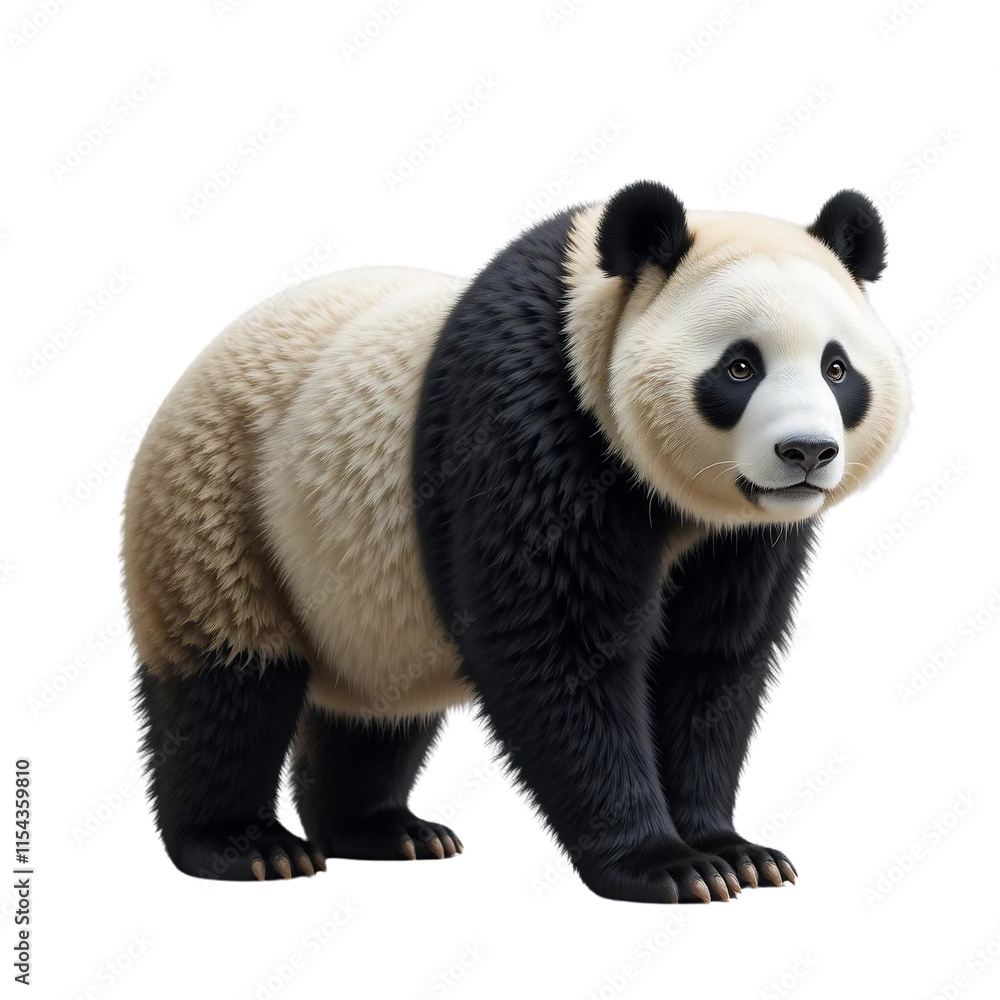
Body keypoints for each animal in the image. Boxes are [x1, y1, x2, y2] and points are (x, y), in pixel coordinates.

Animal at [122, 181, 909, 903]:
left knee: (377, 710)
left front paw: (732, 852)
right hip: (224, 504)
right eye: (740, 367)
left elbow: (711, 659)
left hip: (361, 593)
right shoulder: (532, 419)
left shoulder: (740, 536)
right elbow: (558, 645)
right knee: (228, 684)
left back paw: (381, 830)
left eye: (837, 368)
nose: (806, 452)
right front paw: (664, 865)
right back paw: (248, 847)